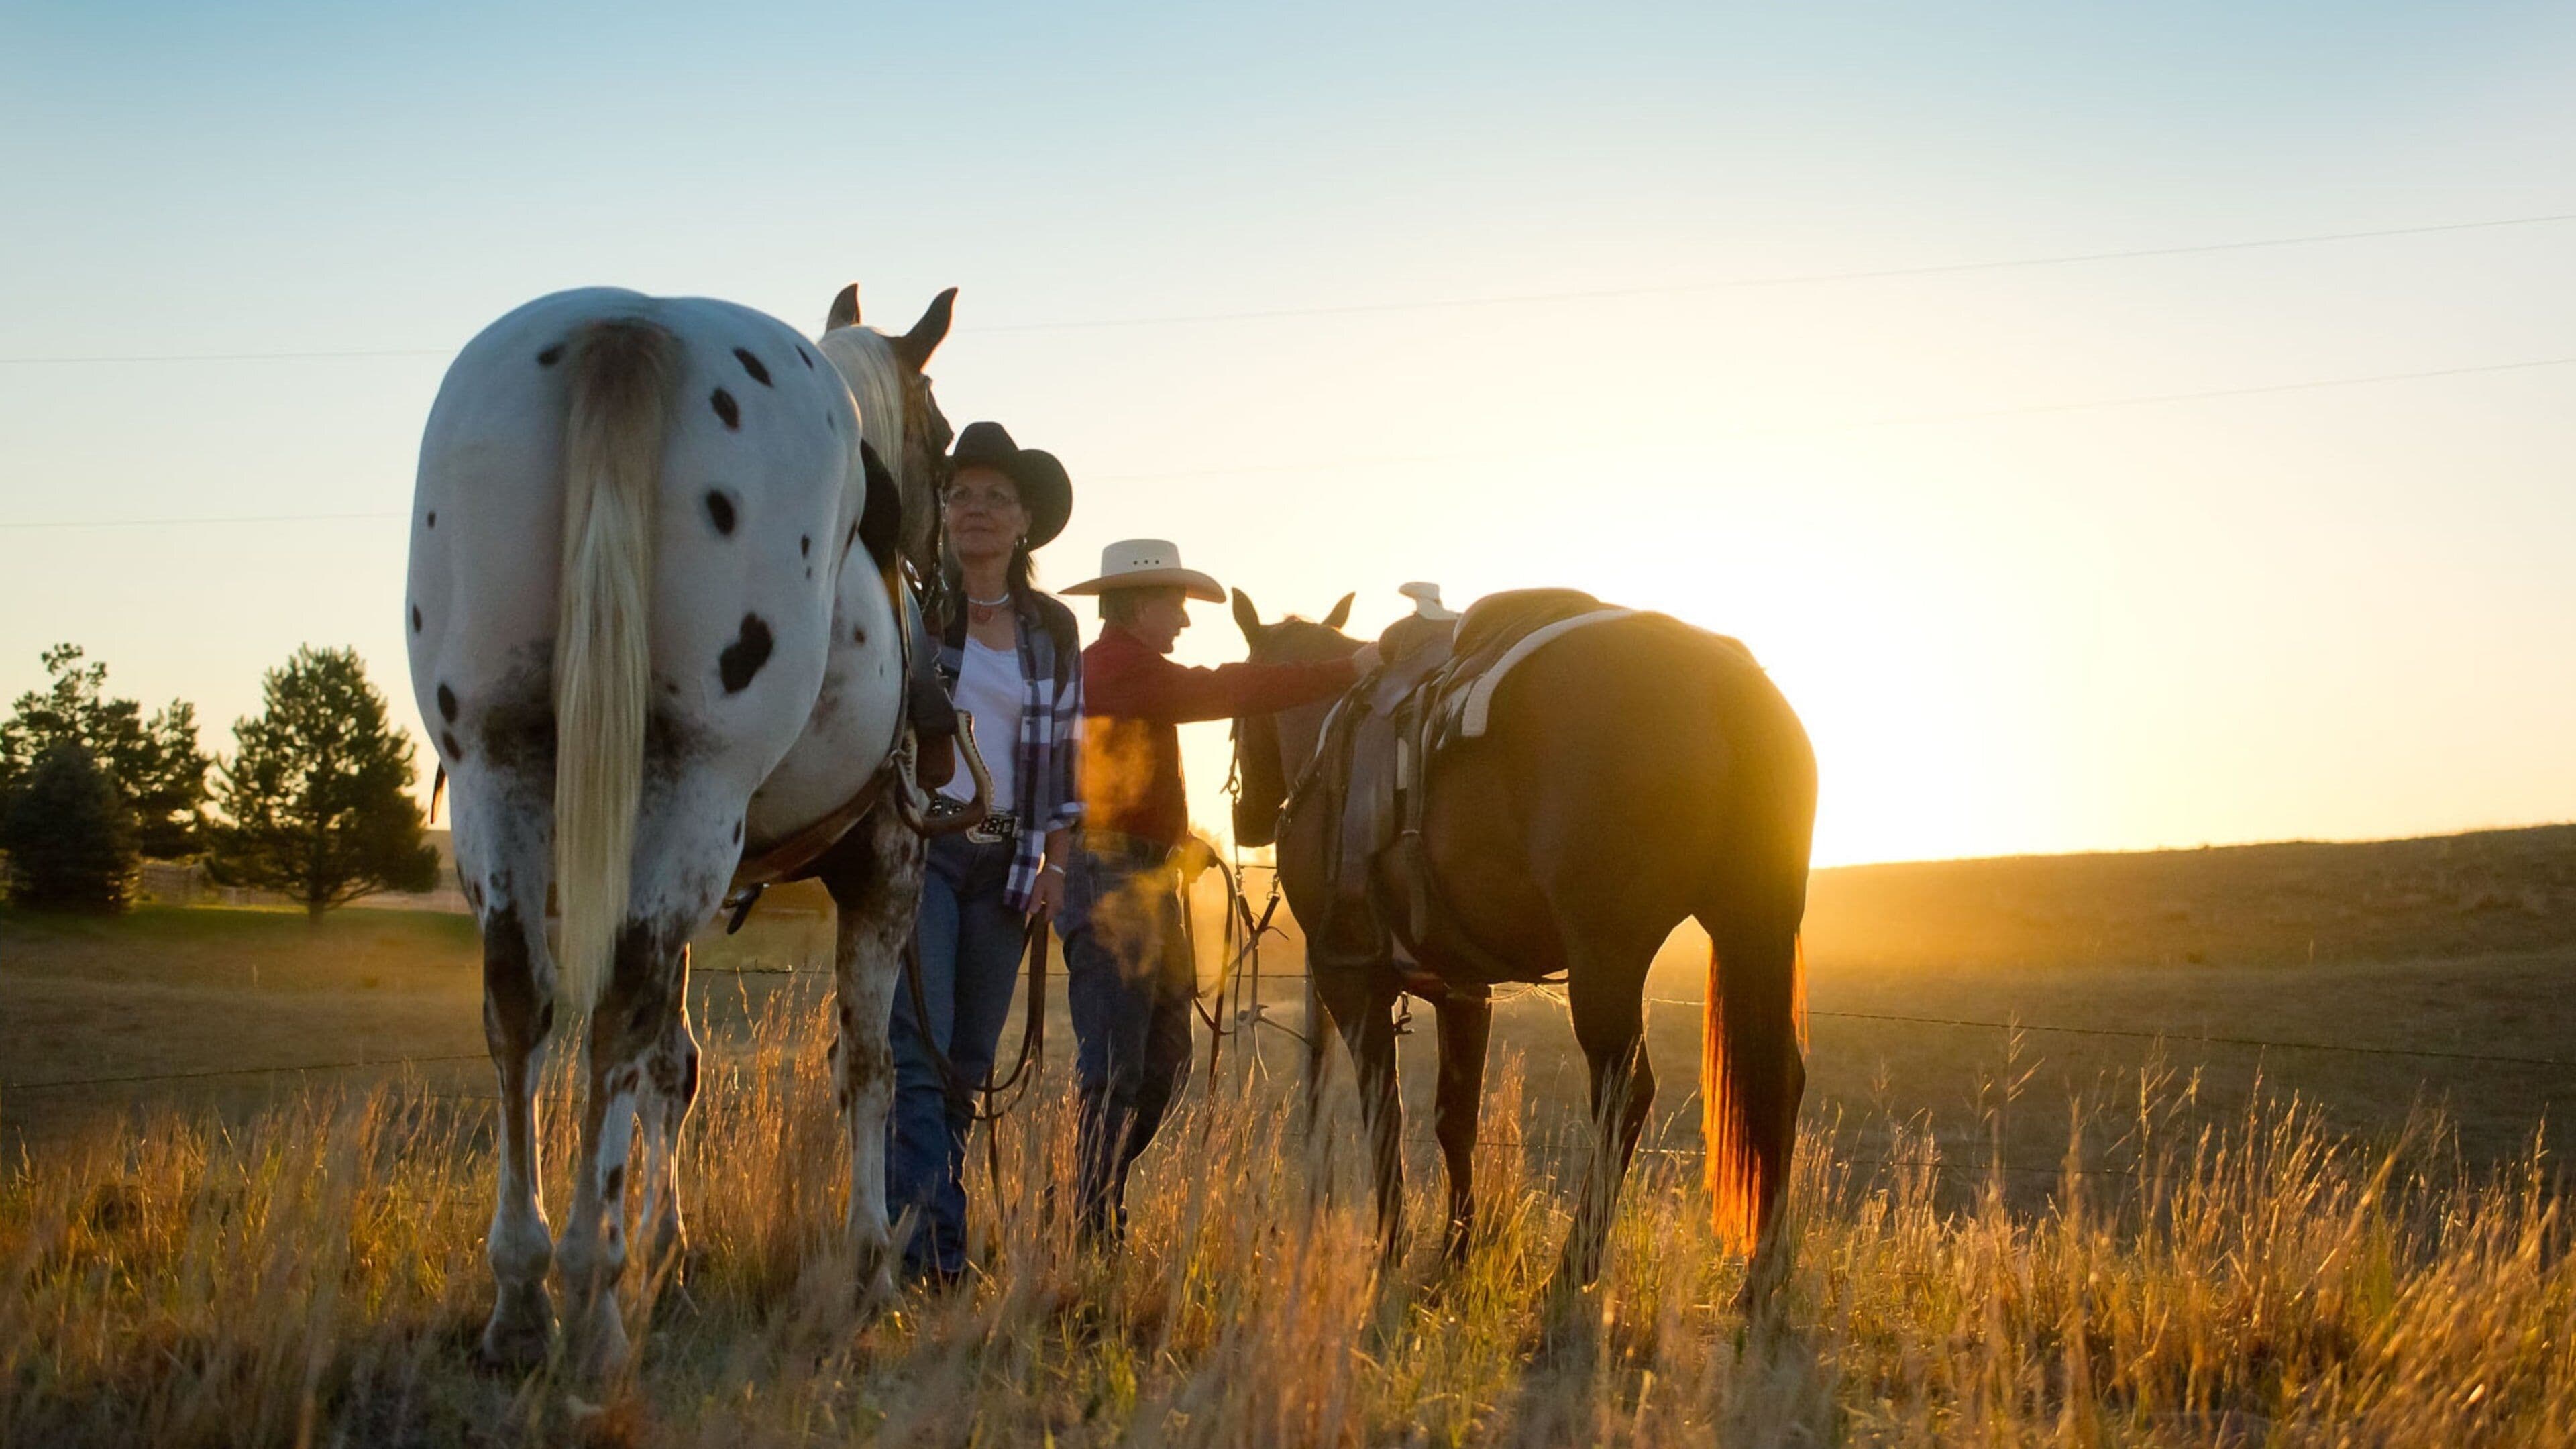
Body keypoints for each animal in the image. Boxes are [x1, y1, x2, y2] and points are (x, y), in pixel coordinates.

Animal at [406, 281, 954, 1374]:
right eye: (948, 439)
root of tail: (627, 325)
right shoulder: (887, 865)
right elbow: (866, 1065)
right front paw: (869, 1265)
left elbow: (672, 1066)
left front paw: (665, 1246)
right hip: (696, 787)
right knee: (617, 1006)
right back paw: (592, 1295)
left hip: (501, 772)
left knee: (526, 1005)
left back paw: (526, 1293)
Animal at [1228, 589, 1816, 1319]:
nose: (1248, 818)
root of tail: (1725, 684)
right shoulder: (1460, 990)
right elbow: (1454, 1118)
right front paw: (1455, 1250)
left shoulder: (1350, 980)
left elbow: (1385, 1115)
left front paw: (1391, 1250)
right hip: (1751, 921)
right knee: (1781, 1082)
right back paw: (1761, 1278)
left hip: (1607, 958)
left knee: (1626, 1092)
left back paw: (1574, 1268)